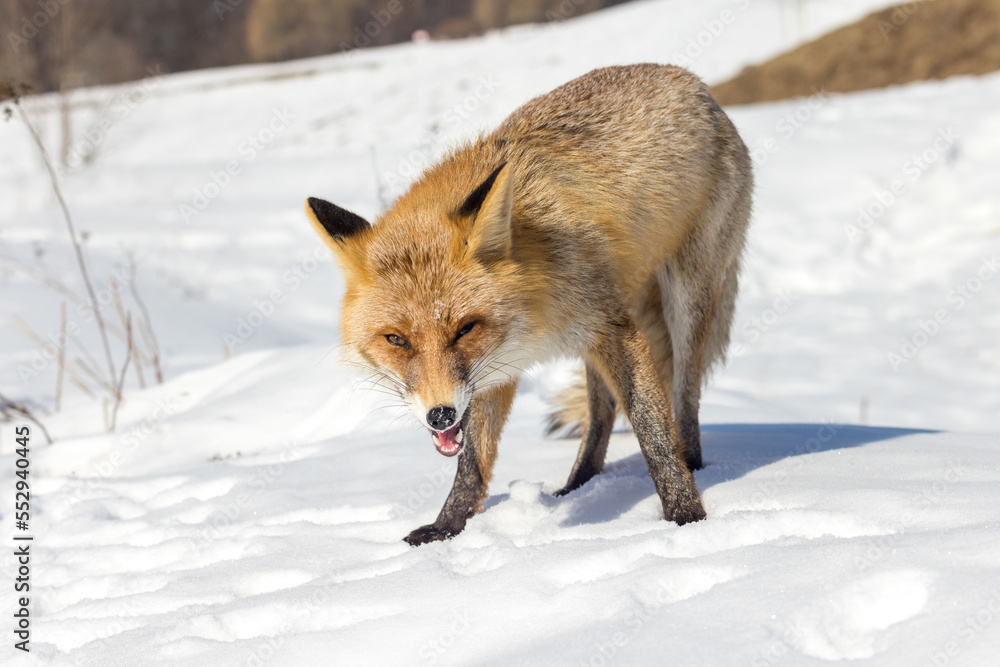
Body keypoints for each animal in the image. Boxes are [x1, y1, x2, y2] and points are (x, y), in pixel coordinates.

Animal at [305, 64, 752, 546]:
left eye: (464, 328)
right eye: (395, 340)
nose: (440, 415)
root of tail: (694, 83)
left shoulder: (612, 327)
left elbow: (654, 433)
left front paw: (687, 518)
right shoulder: (494, 372)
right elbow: (472, 465)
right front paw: (447, 530)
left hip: (685, 297)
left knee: (684, 399)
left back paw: (693, 465)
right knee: (600, 413)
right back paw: (579, 485)